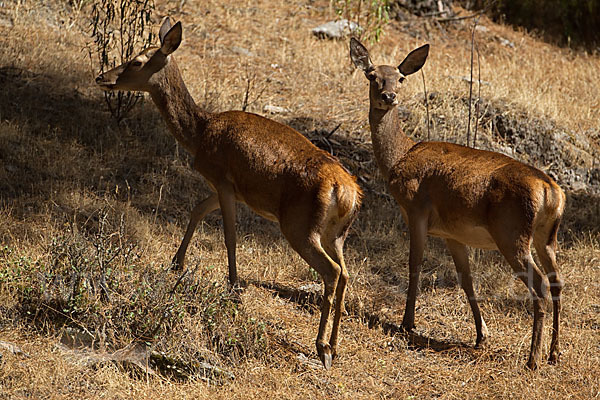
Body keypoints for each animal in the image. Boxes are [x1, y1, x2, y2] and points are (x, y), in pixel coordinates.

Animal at [94, 18, 360, 368]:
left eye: (137, 61)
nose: (102, 77)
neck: (199, 134)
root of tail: (346, 192)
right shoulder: (227, 188)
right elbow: (197, 209)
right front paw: (176, 264)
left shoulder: (222, 179)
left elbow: (230, 236)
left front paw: (233, 285)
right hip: (336, 233)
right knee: (345, 274)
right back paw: (335, 346)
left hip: (299, 225)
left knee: (332, 272)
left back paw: (321, 346)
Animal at [350, 37, 564, 368]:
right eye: (372, 75)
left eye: (400, 78)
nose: (389, 96)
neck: (399, 158)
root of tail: (550, 190)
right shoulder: (452, 233)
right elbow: (466, 279)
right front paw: (481, 335)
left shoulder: (416, 209)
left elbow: (414, 264)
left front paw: (407, 323)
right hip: (546, 237)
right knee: (557, 282)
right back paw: (553, 353)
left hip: (512, 232)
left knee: (540, 285)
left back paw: (533, 359)